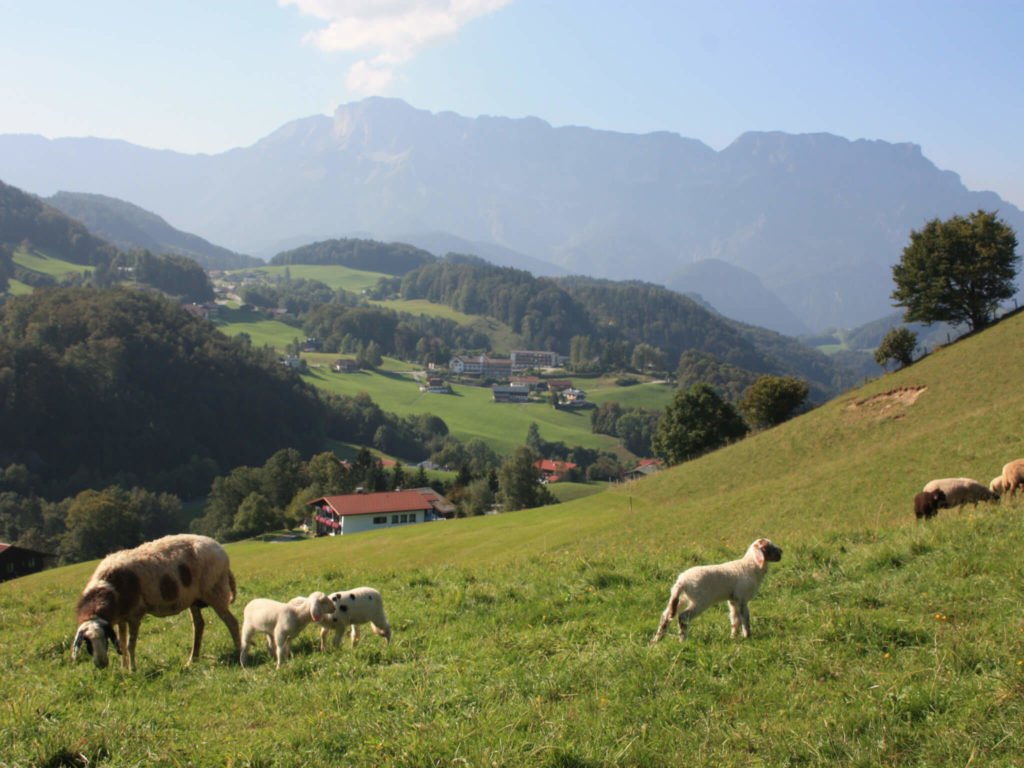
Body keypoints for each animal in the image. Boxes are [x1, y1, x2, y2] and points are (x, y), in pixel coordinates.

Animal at [73, 536, 240, 671]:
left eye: (105, 638)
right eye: (87, 642)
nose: (101, 665)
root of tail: (220, 549)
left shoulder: (135, 615)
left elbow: (130, 644)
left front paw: (133, 670)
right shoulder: (121, 617)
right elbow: (122, 644)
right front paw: (123, 669)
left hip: (215, 590)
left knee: (232, 622)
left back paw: (239, 653)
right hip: (194, 599)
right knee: (199, 625)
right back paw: (192, 660)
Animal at [647, 536, 782, 647]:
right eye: (768, 548)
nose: (782, 552)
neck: (751, 566)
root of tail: (681, 581)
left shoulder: (733, 600)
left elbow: (735, 619)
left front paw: (733, 637)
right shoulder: (742, 598)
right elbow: (745, 618)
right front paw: (747, 636)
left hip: (681, 598)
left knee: (666, 616)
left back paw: (656, 639)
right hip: (700, 600)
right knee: (683, 617)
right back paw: (682, 639)